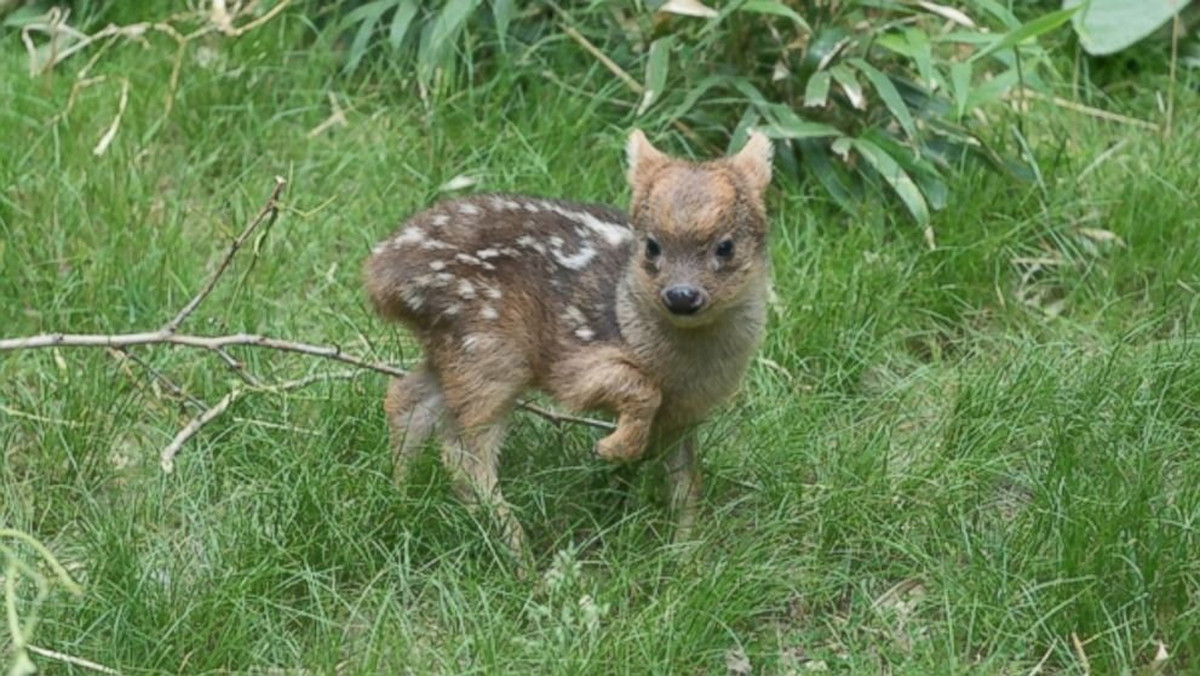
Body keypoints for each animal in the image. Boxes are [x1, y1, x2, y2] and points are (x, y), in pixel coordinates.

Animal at [364, 128, 772, 554]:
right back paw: (521, 554)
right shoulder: (574, 361)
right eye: (651, 245)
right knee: (463, 453)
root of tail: (380, 276)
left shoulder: (687, 413)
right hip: (490, 346)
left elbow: (687, 481)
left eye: (725, 246)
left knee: (406, 399)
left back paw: (400, 497)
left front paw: (684, 551)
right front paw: (613, 448)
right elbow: (638, 388)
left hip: (454, 346)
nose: (681, 296)